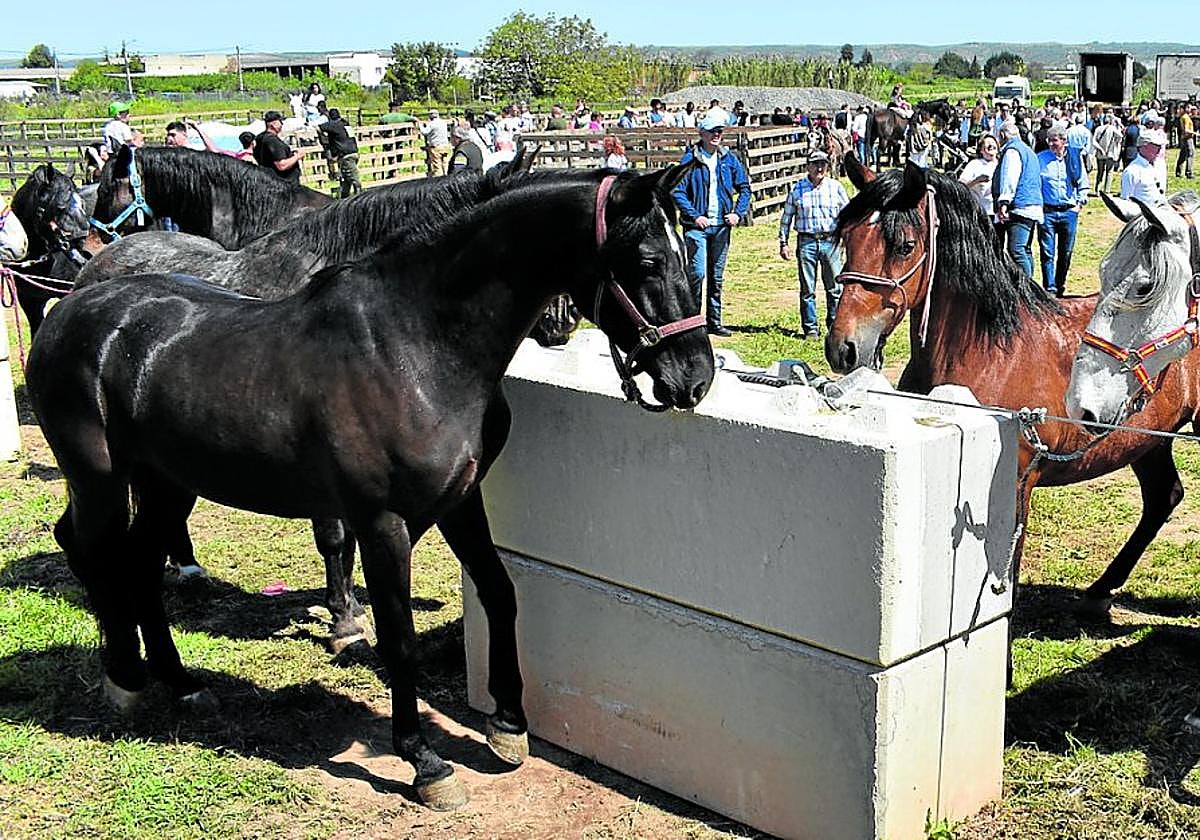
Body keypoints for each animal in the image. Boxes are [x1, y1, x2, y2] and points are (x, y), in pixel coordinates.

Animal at [27, 165, 714, 810]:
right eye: (648, 261)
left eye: (687, 249)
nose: (695, 378)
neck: (412, 345)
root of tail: (70, 307)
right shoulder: (382, 523)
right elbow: (399, 639)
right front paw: (425, 762)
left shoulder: (460, 502)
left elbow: (500, 593)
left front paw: (509, 724)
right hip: (100, 479)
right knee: (95, 550)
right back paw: (125, 677)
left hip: (168, 482)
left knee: (141, 562)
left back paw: (181, 682)